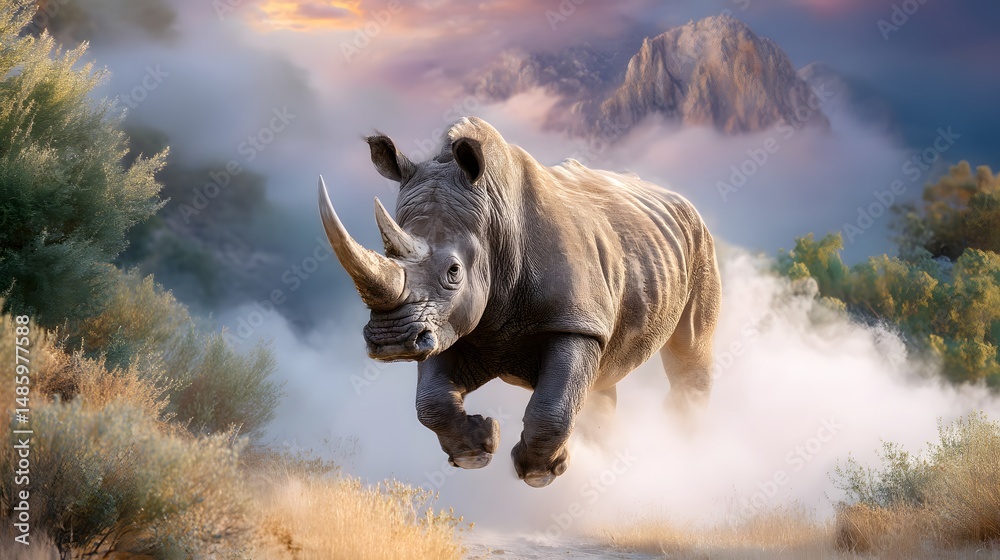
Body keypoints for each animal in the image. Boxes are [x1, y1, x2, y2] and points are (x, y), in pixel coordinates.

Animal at [318, 117, 720, 488]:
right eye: (386, 254)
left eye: (453, 271)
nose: (391, 341)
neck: (494, 223)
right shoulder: (445, 322)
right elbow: (430, 401)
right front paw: (476, 450)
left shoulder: (574, 322)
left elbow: (552, 407)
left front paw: (538, 472)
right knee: (600, 377)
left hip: (700, 241)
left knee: (689, 348)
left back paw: (689, 444)